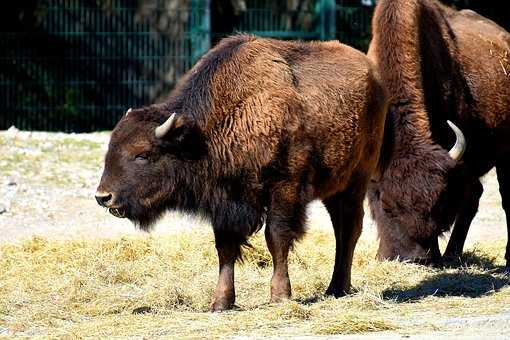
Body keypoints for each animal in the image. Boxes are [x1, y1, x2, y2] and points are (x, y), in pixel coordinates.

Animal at [94, 35, 390, 310]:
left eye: (143, 155)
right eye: (111, 147)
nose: (103, 196)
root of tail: (373, 74)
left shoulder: (284, 187)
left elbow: (276, 237)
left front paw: (279, 295)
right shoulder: (225, 202)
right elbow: (225, 248)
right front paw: (220, 303)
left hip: (354, 182)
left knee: (348, 229)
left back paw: (337, 288)